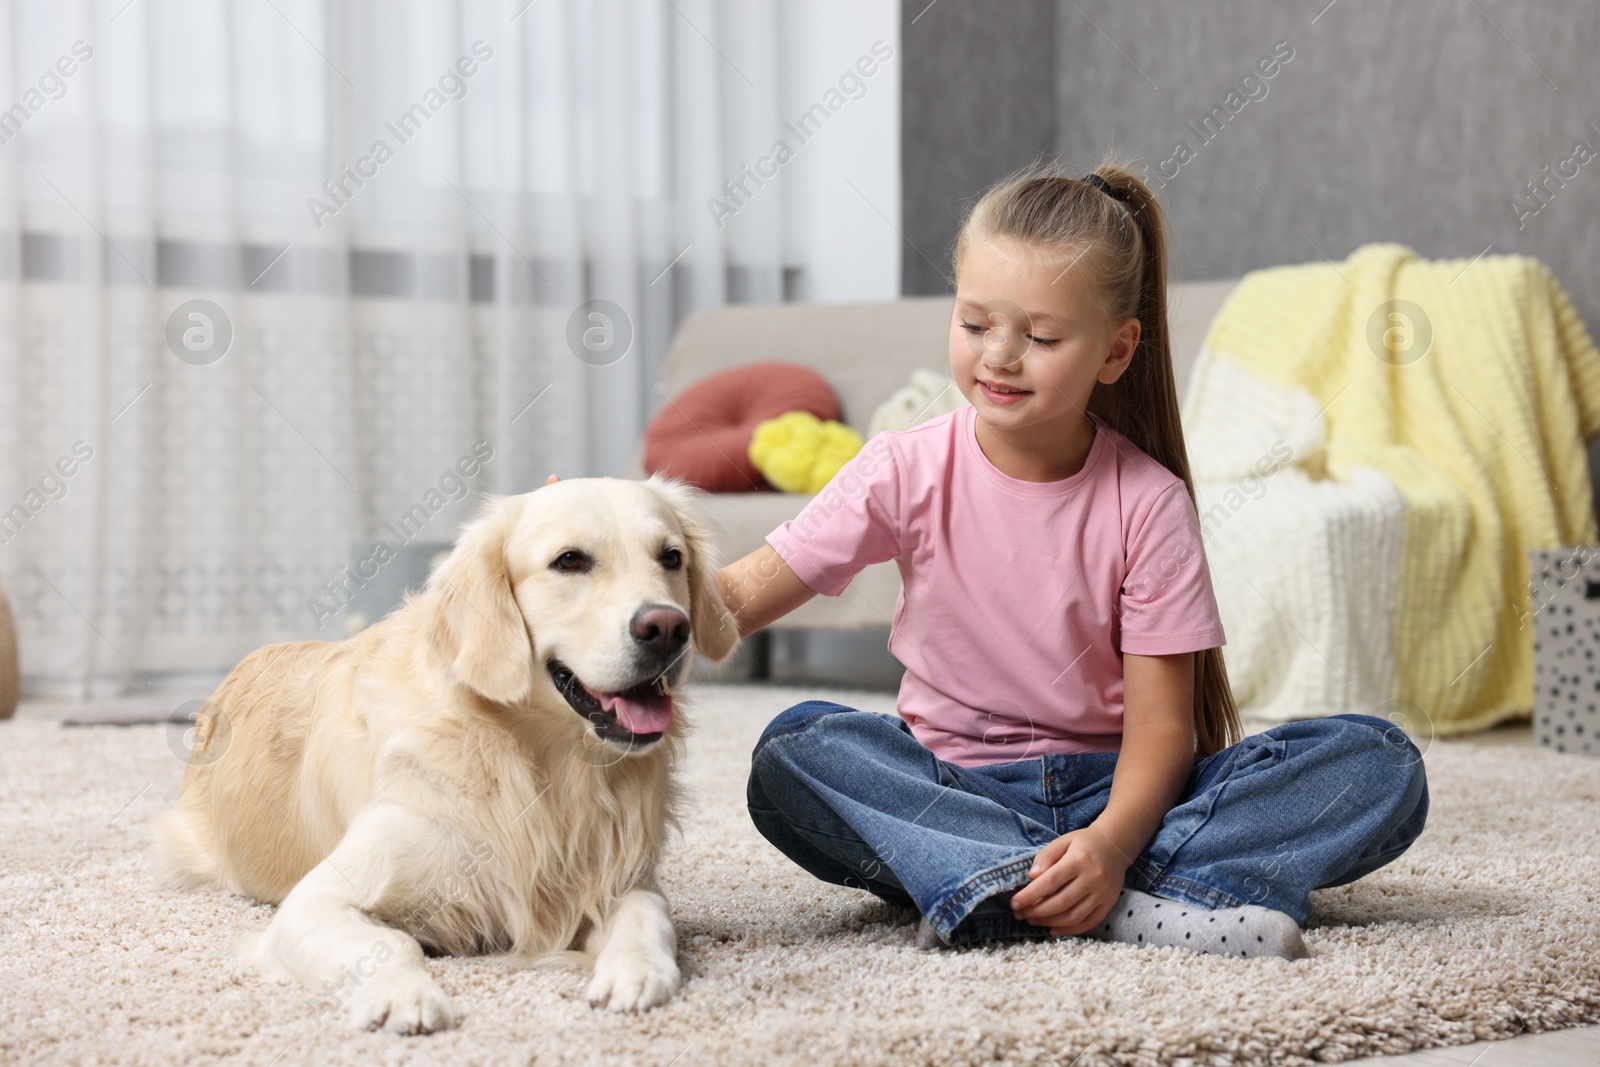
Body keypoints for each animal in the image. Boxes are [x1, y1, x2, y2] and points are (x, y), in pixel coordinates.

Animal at [152, 476, 739, 1036]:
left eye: (671, 557)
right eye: (570, 560)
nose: (668, 628)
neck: (538, 760)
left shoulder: (621, 876)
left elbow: (648, 912)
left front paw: (637, 971)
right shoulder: (316, 901)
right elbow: (394, 943)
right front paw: (404, 996)